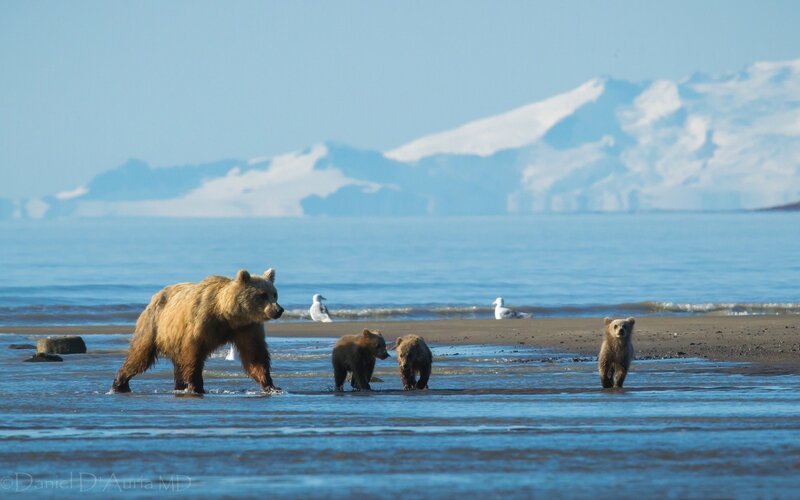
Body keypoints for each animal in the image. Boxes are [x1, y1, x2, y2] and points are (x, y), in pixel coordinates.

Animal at [111, 269, 284, 394]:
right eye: (262, 295)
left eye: (274, 293)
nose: (279, 310)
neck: (227, 314)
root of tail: (156, 295)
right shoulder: (202, 323)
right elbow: (193, 353)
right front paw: (197, 387)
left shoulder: (246, 328)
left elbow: (254, 355)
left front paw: (271, 385)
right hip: (154, 324)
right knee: (140, 355)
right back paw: (120, 384)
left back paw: (179, 386)